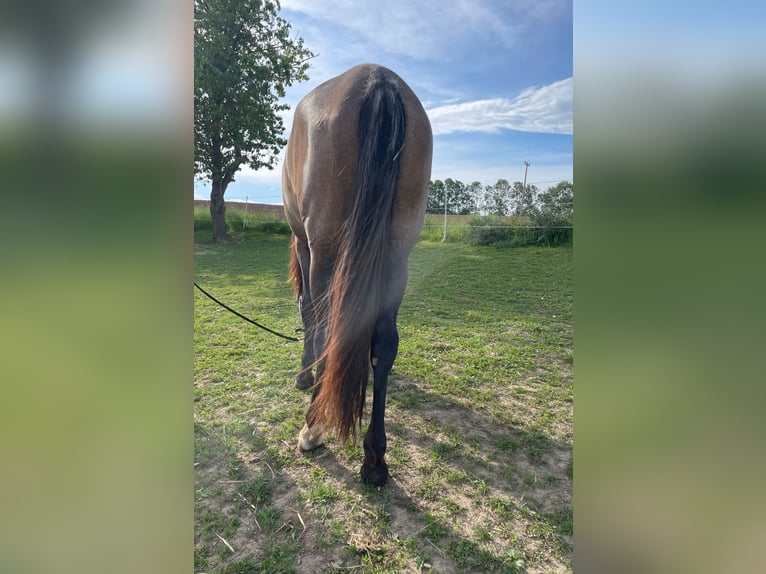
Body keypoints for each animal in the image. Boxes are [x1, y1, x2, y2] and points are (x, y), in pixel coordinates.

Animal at [284, 64, 438, 486]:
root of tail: (379, 80)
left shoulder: (305, 246)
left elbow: (308, 312)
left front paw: (305, 376)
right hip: (397, 255)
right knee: (384, 343)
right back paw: (374, 460)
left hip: (325, 250)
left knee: (325, 327)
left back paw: (312, 428)